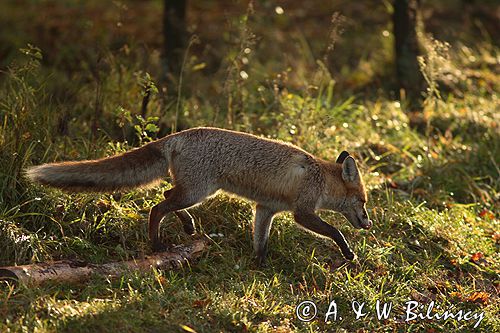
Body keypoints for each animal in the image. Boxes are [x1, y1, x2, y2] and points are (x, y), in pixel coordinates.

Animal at [26, 126, 372, 264]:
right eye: (363, 203)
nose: (368, 224)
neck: (318, 177)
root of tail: (177, 135)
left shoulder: (265, 208)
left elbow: (260, 240)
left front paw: (260, 264)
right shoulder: (303, 212)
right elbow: (335, 230)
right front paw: (348, 252)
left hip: (193, 191)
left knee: (166, 195)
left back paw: (188, 226)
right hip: (199, 191)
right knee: (156, 207)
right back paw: (157, 244)